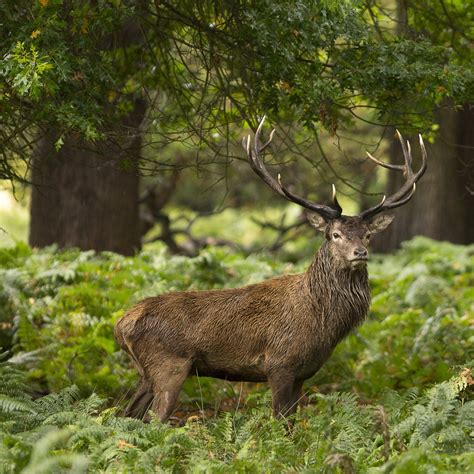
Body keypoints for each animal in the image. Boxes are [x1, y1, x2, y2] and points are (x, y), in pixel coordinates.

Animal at [114, 117, 426, 422]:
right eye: (335, 234)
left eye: (368, 234)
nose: (360, 253)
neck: (323, 322)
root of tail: (122, 323)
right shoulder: (279, 364)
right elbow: (279, 423)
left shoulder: (303, 373)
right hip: (170, 365)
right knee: (155, 421)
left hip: (147, 373)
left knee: (127, 416)